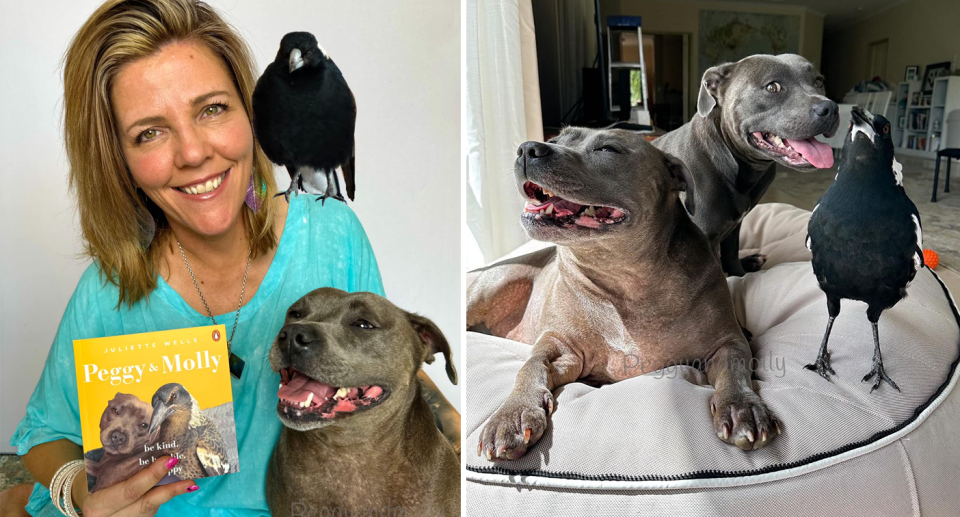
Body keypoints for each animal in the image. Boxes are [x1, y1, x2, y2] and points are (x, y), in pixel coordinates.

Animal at [466, 126, 780, 460]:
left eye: (607, 149)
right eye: (554, 140)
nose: (528, 149)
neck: (624, 280)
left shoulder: (725, 341)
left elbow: (735, 365)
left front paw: (742, 406)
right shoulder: (558, 344)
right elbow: (530, 366)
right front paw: (511, 414)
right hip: (493, 285)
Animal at [656, 54, 836, 276]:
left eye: (819, 82)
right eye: (772, 87)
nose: (831, 108)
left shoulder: (735, 228)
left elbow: (731, 257)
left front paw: (740, 275)